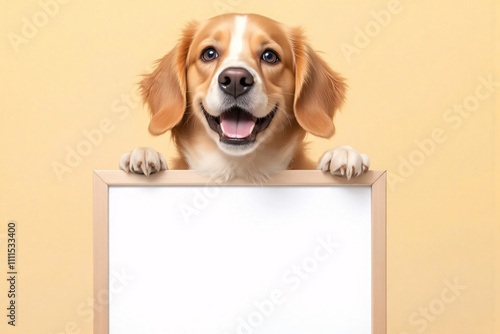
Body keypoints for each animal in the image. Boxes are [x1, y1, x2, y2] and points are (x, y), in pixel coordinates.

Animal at [119, 13, 370, 181]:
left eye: (270, 56)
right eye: (209, 53)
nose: (235, 80)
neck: (238, 169)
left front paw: (344, 154)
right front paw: (143, 154)